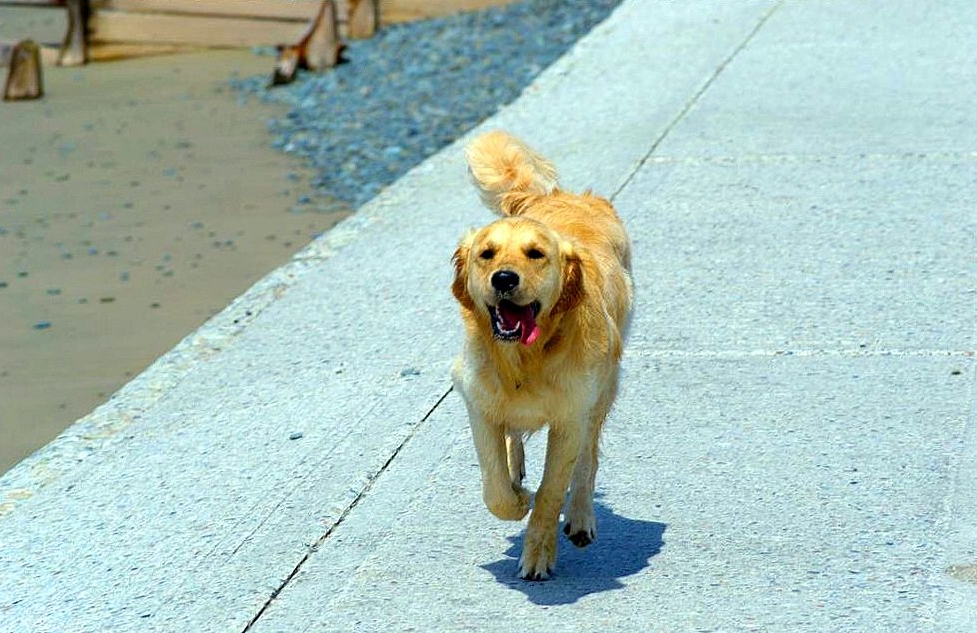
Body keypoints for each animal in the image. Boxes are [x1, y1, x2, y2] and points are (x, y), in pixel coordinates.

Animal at [451, 131, 633, 580]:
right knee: (514, 440)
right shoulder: (478, 403)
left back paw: (581, 518)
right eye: (487, 254)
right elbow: (494, 485)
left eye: (536, 254)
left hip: (604, 390)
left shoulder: (570, 417)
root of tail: (560, 194)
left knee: (588, 459)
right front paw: (516, 499)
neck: (525, 357)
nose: (504, 278)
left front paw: (537, 555)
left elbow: (553, 491)